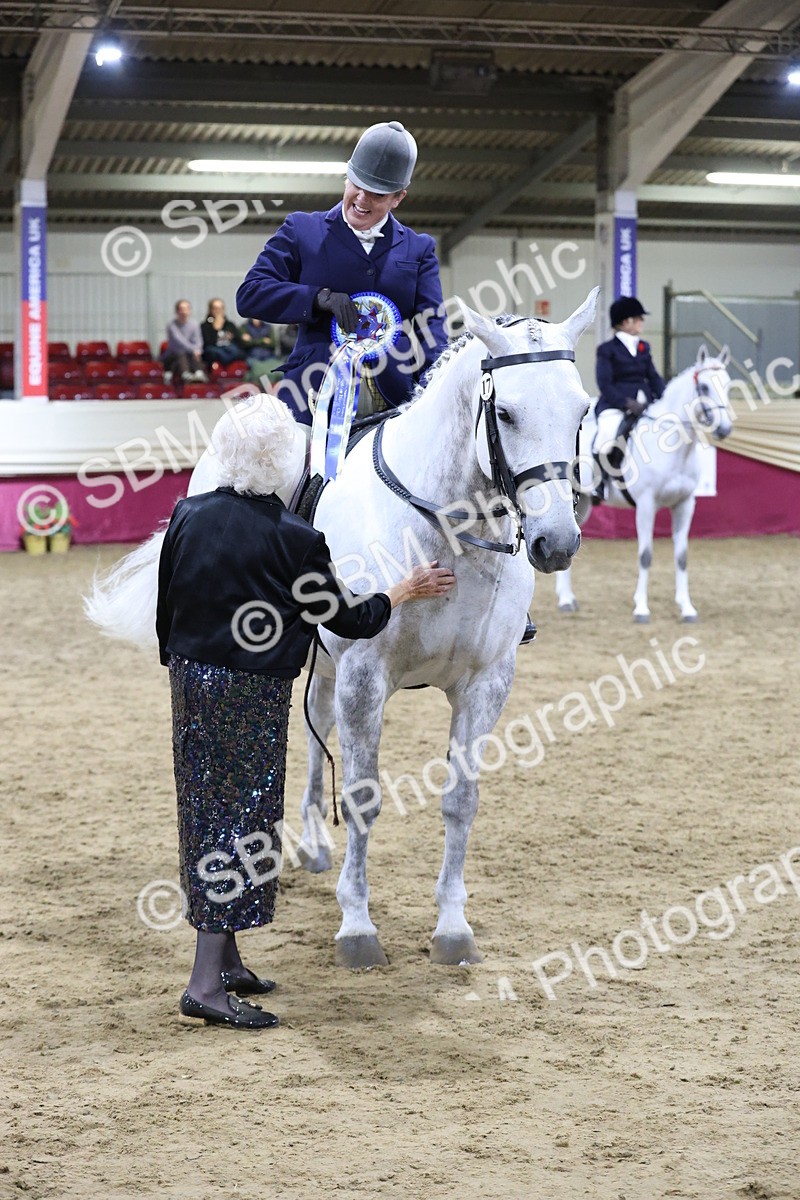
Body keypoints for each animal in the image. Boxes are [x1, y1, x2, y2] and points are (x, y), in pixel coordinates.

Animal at [86, 288, 599, 969]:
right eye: (507, 413)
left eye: (581, 409)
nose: (557, 542)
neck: (447, 529)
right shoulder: (365, 676)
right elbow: (362, 798)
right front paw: (357, 927)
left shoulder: (486, 683)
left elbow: (460, 801)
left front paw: (452, 927)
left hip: (327, 668)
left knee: (315, 731)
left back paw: (311, 846)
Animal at [554, 346, 733, 624]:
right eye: (703, 387)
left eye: (728, 385)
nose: (724, 429)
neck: (674, 447)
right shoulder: (646, 505)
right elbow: (645, 555)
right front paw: (641, 609)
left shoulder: (685, 505)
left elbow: (682, 557)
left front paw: (687, 608)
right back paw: (563, 601)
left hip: (582, 503)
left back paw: (567, 600)